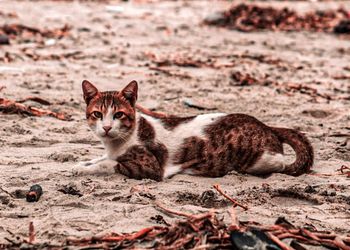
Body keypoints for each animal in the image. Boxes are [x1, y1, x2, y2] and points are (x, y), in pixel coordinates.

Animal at [72, 81, 314, 181]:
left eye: (119, 115)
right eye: (97, 114)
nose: (106, 127)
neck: (117, 142)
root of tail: (267, 125)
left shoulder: (150, 168)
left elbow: (109, 163)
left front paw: (86, 169)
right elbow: (98, 158)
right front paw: (81, 165)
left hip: (258, 160)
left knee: (280, 164)